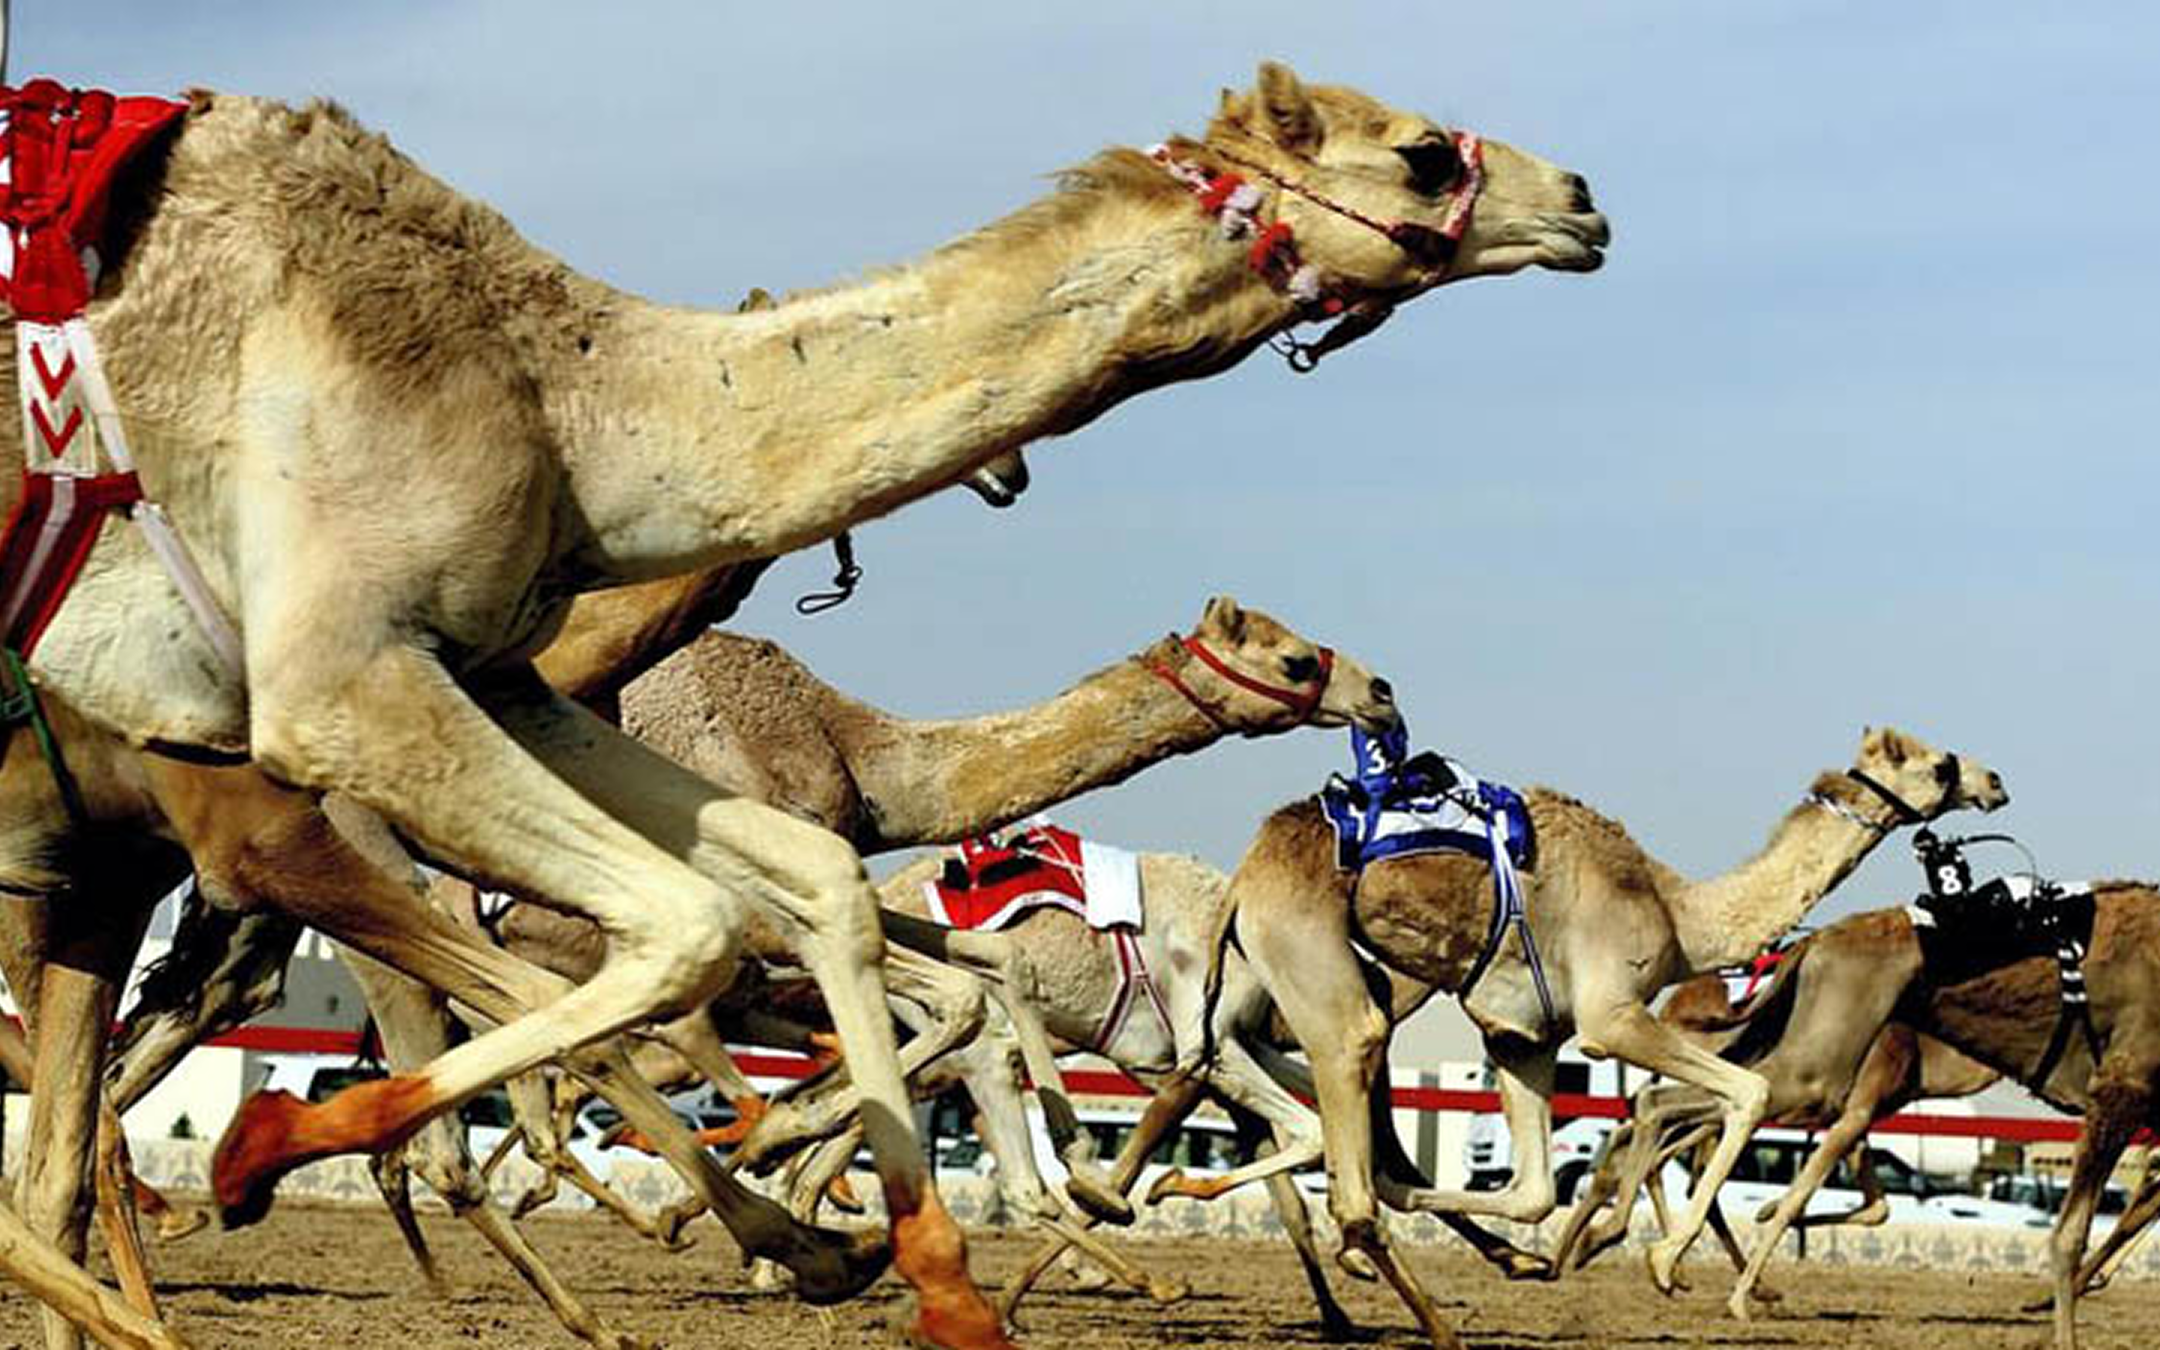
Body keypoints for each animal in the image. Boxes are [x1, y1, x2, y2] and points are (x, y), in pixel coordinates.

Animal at [0, 59, 1603, 1348]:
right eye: (1423, 153)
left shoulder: (495, 681)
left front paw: (922, 1273)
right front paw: (261, 1146)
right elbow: (689, 952)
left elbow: (827, 903)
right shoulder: (340, 687)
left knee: (112, 1096)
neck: (557, 397)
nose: (1585, 198)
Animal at [1200, 727, 2004, 1348]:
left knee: (1266, 1072)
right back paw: (1429, 1316)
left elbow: (1530, 1192)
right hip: (1315, 956)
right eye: (1940, 763)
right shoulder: (1609, 1016)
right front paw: (1664, 1261)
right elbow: (1748, 1092)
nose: (1994, 779)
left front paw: (1537, 1257)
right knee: (1350, 1104)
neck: (1679, 912)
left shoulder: (1521, 1037)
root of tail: (1244, 877)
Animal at [1658, 890, 2160, 1349]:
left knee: (1681, 1133)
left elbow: (1868, 1204)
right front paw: (1742, 1289)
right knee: (1677, 1129)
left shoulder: (1863, 1113)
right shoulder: (1858, 1108)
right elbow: (1806, 1195)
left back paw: (1680, 1266)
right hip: (1787, 1074)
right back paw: (1680, 1265)